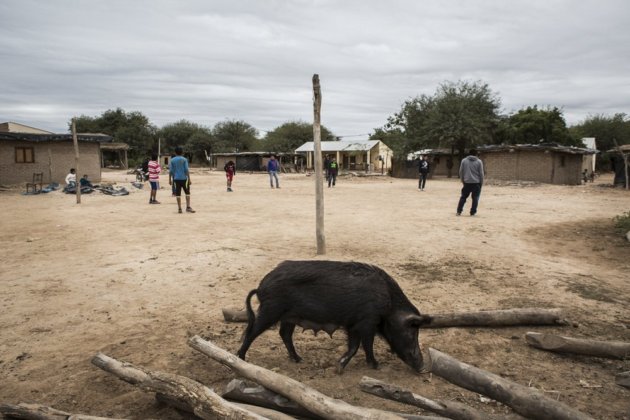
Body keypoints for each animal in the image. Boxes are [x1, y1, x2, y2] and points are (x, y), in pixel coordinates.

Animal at [238, 260, 434, 372]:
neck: (388, 304)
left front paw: (340, 366)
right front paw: (376, 366)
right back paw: (241, 358)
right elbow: (365, 345)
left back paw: (299, 360)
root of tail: (261, 287)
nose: (423, 367)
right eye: (412, 331)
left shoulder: (353, 324)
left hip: (289, 317)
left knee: (284, 334)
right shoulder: (367, 322)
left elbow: (355, 345)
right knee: (252, 332)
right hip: (271, 310)